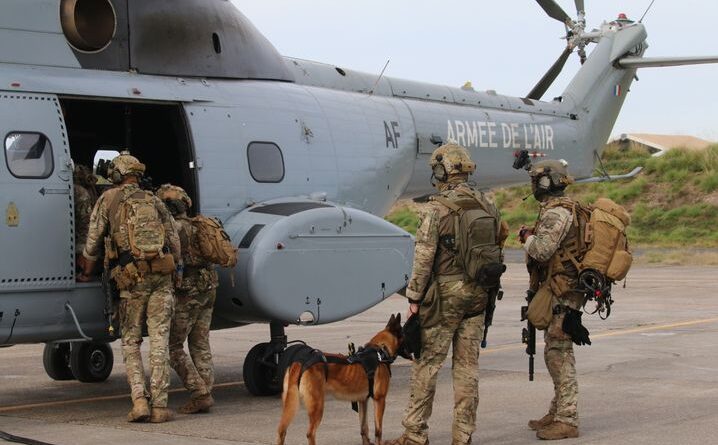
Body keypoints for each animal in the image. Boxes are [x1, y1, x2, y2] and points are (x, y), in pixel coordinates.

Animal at [278, 312, 404, 444]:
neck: (380, 352)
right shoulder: (380, 400)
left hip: (289, 403)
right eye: (404, 335)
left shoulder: (363, 400)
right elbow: (378, 431)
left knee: (281, 431)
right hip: (317, 406)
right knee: (310, 433)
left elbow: (364, 428)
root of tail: (299, 362)